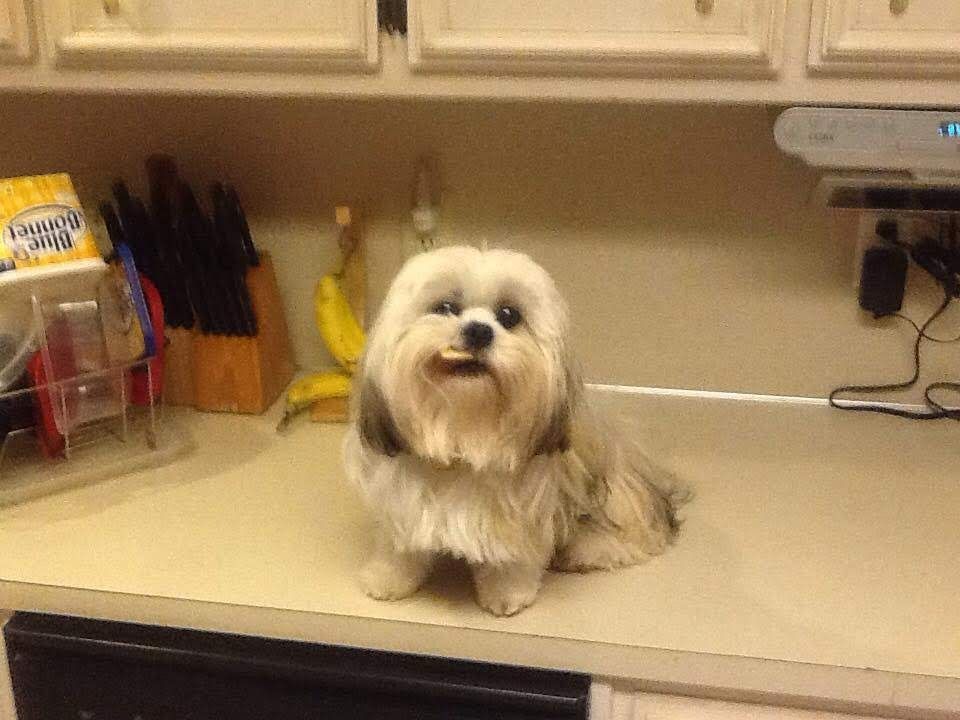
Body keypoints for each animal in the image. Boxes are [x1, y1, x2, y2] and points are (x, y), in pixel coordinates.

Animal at [343, 246, 683, 616]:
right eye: (445, 307)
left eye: (509, 315)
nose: (479, 331)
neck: (465, 431)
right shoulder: (402, 501)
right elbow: (399, 548)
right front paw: (387, 579)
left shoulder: (522, 516)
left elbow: (512, 558)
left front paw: (508, 593)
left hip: (618, 495)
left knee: (634, 534)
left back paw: (586, 552)